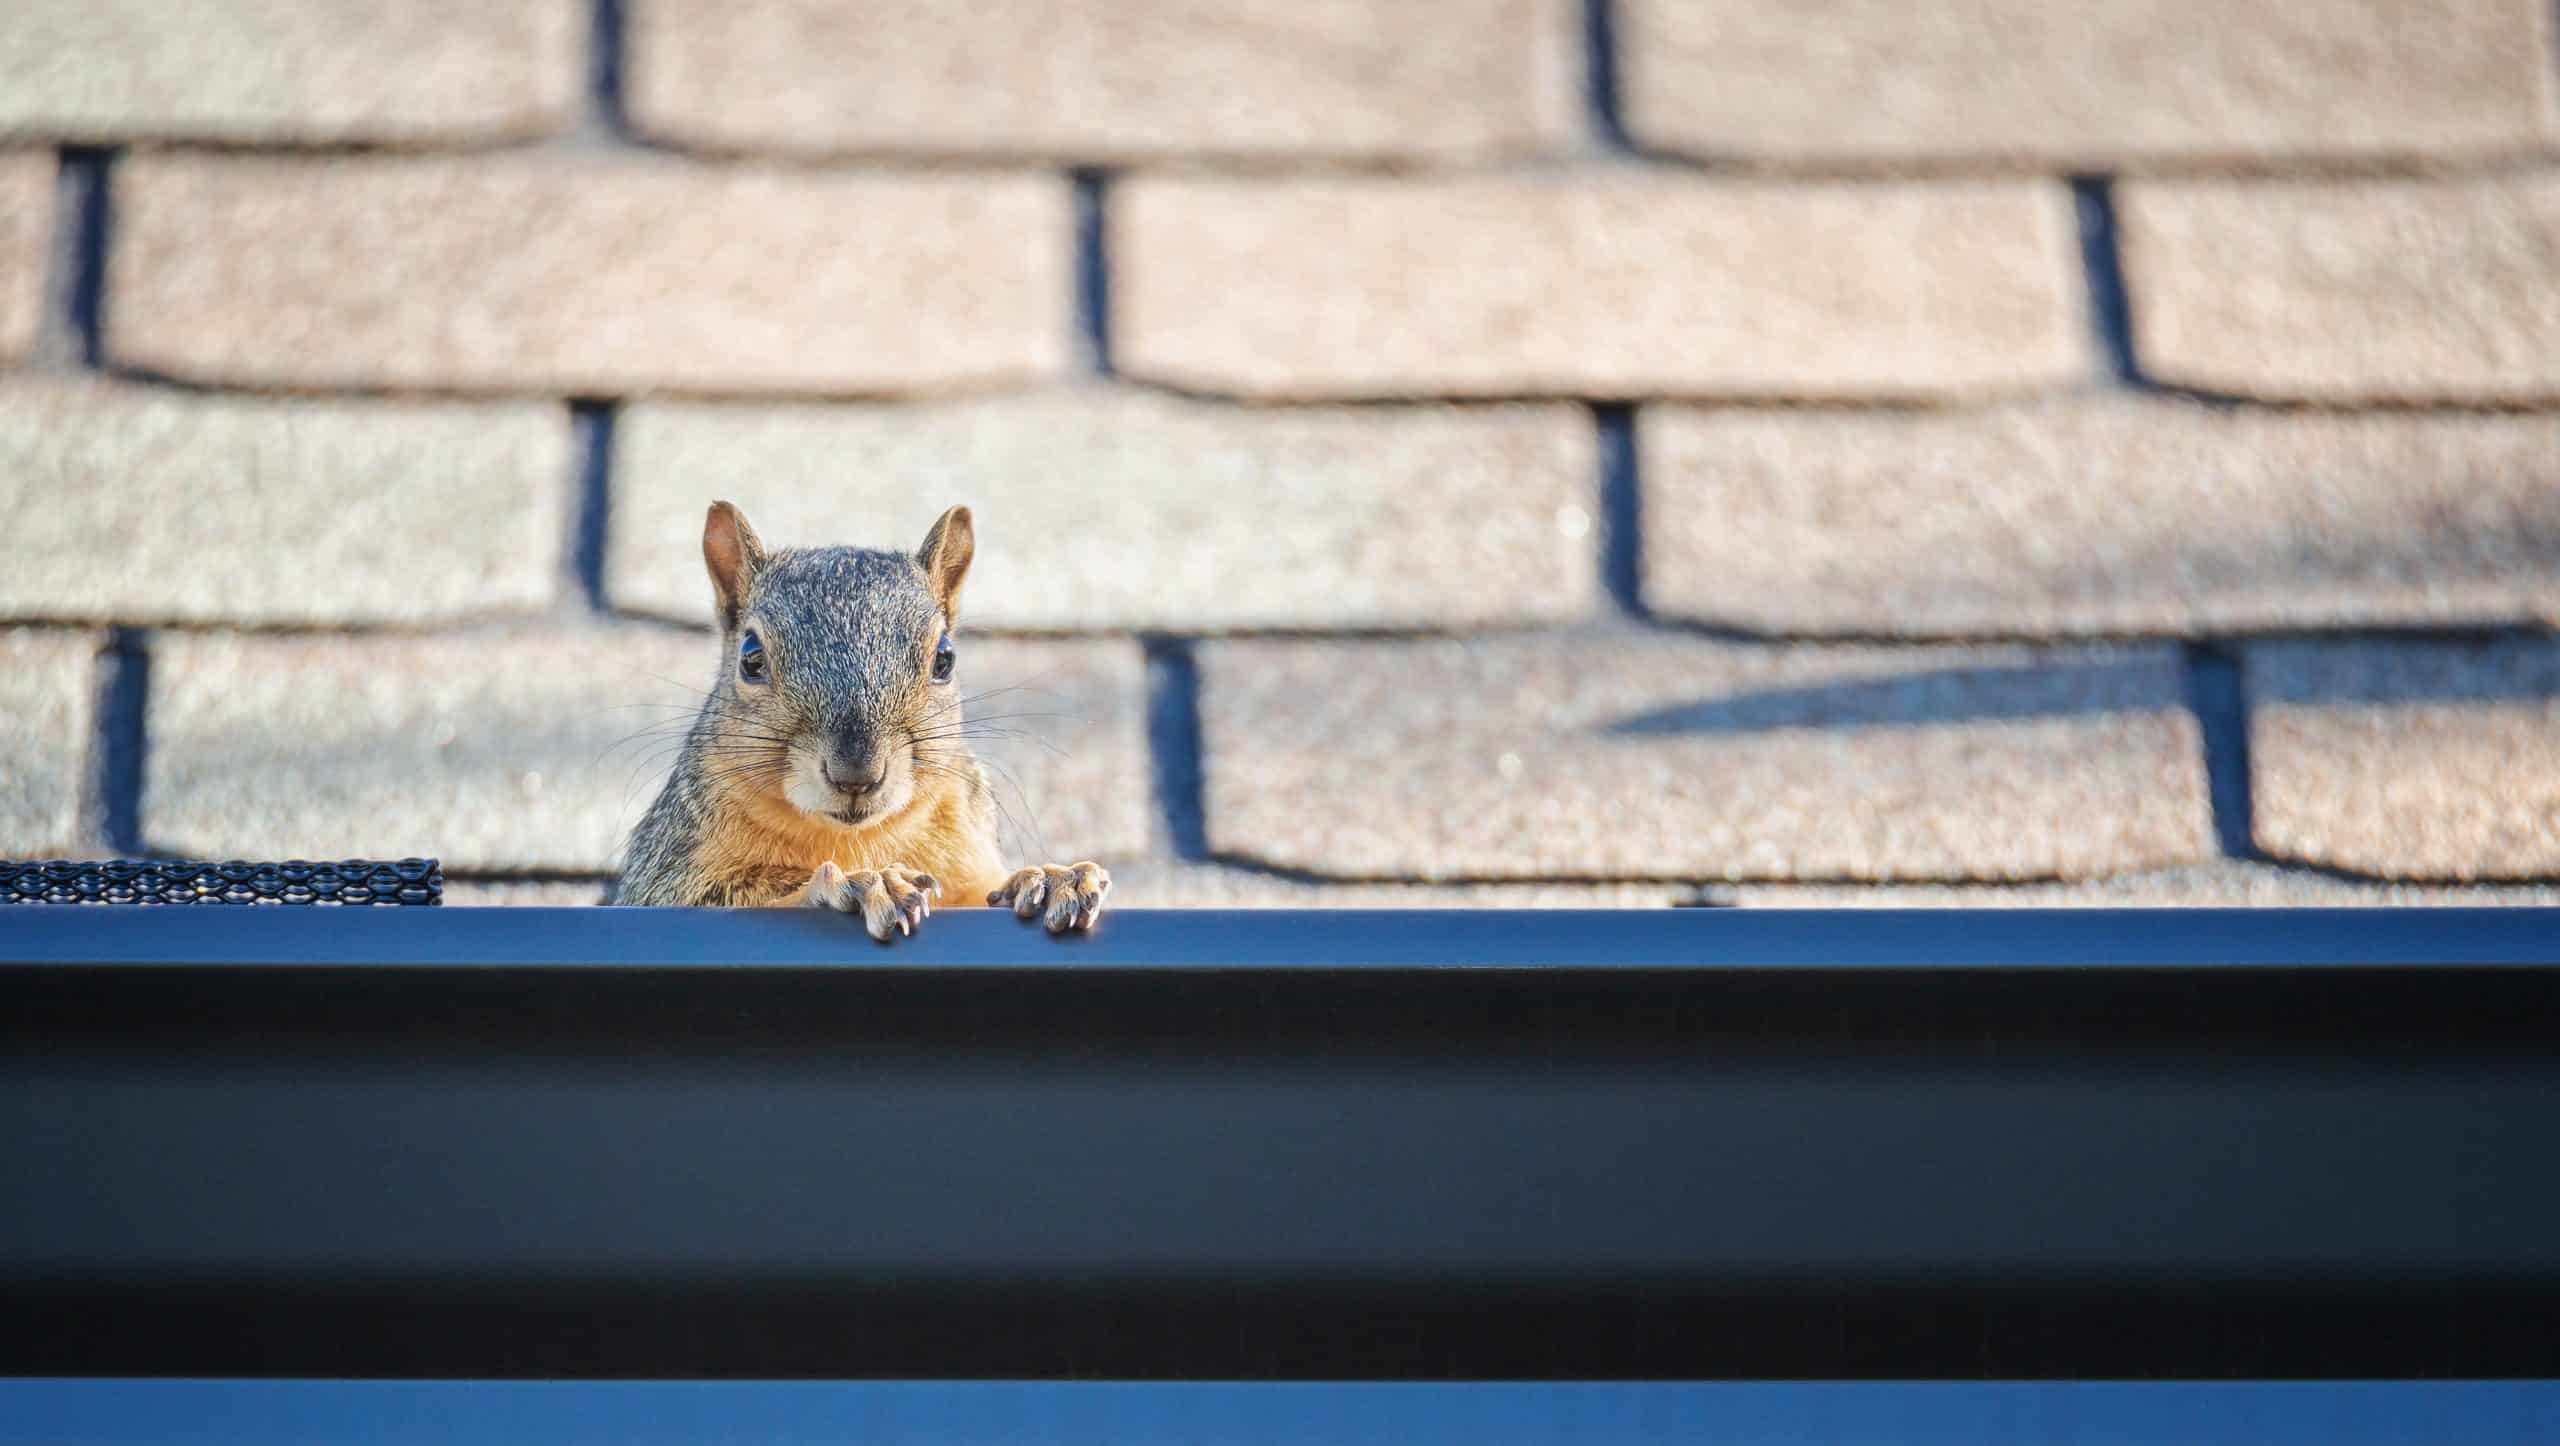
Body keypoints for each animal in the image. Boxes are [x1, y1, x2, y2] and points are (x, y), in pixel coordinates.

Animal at [616, 501, 1111, 941]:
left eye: (945, 658)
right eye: (750, 658)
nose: (856, 774)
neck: (858, 836)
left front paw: (1048, 879)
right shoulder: (665, 878)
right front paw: (857, 884)